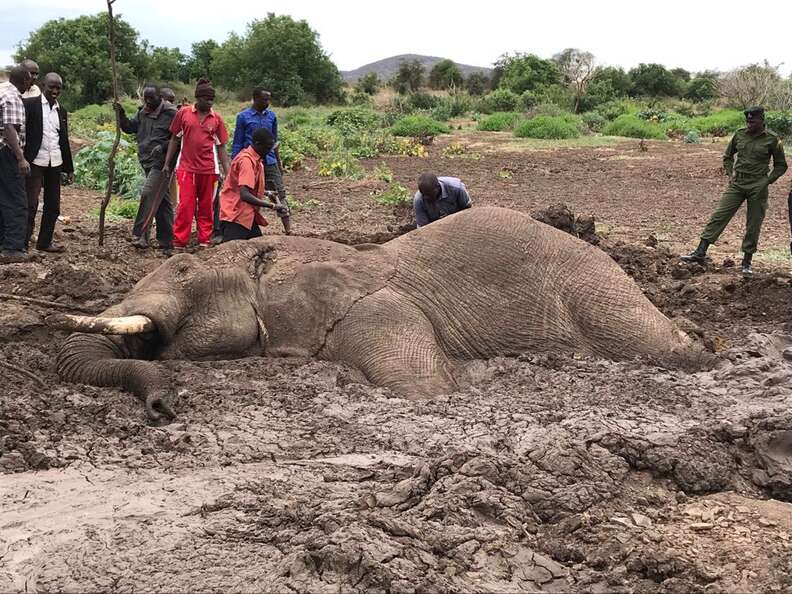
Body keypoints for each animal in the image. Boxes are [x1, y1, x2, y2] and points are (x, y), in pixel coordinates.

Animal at [52, 206, 708, 418]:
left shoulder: (379, 309)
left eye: (184, 272)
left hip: (599, 292)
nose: (163, 409)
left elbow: (422, 389)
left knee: (661, 346)